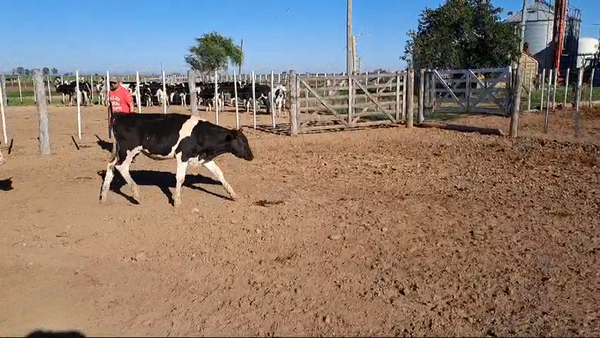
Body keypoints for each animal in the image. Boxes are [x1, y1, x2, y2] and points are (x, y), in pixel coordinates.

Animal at [99, 112, 254, 206]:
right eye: (242, 142)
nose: (251, 156)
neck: (200, 134)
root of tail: (120, 115)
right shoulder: (182, 156)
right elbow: (180, 178)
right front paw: (177, 201)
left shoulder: (204, 158)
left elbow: (219, 174)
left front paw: (232, 194)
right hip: (129, 151)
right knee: (121, 167)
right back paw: (136, 193)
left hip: (120, 152)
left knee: (111, 167)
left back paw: (104, 196)